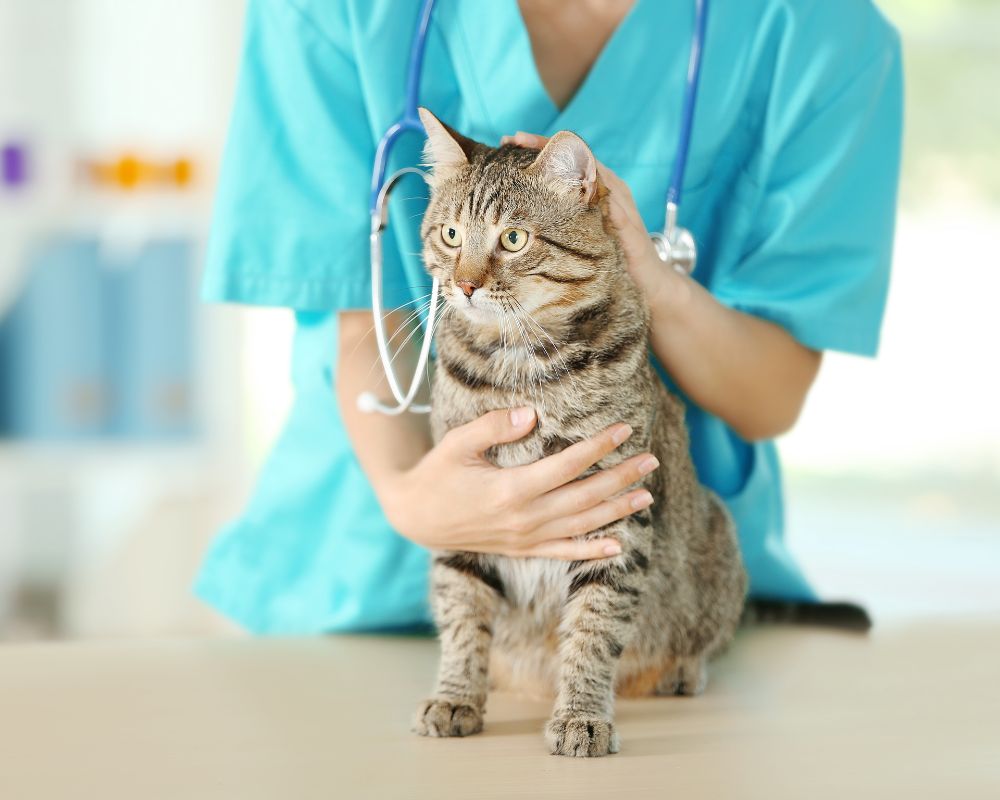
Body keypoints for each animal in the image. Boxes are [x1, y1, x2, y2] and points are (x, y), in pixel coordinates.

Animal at [410, 109, 748, 760]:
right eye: (452, 236)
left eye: (513, 240)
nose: (464, 285)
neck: (520, 369)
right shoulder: (464, 501)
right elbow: (462, 613)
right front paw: (457, 695)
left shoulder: (618, 511)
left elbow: (593, 628)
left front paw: (582, 715)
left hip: (717, 539)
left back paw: (680, 670)